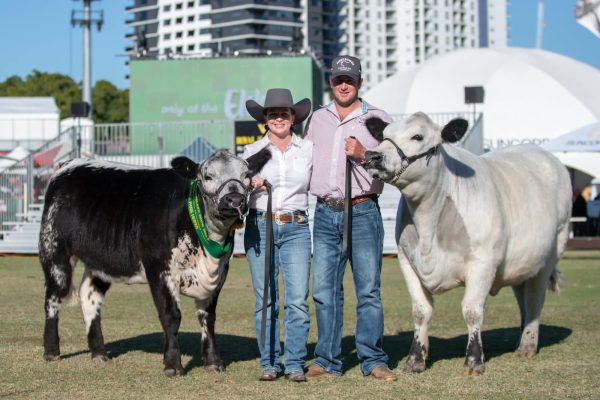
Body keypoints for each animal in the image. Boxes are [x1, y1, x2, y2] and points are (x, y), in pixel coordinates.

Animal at [39, 149, 270, 376]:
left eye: (246, 175)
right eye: (208, 176)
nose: (234, 199)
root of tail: (68, 164)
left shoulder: (220, 273)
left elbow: (208, 317)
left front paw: (213, 362)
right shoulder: (160, 270)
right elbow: (171, 315)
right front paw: (173, 365)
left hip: (101, 262)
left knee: (90, 296)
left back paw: (99, 353)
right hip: (54, 252)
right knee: (53, 298)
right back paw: (51, 352)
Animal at [362, 112, 571, 375]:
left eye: (417, 136)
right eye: (383, 135)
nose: (372, 156)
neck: (429, 226)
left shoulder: (483, 262)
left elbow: (472, 310)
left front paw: (473, 360)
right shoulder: (406, 261)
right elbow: (421, 311)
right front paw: (415, 359)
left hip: (551, 253)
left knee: (534, 299)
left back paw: (527, 344)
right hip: (521, 262)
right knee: (522, 296)